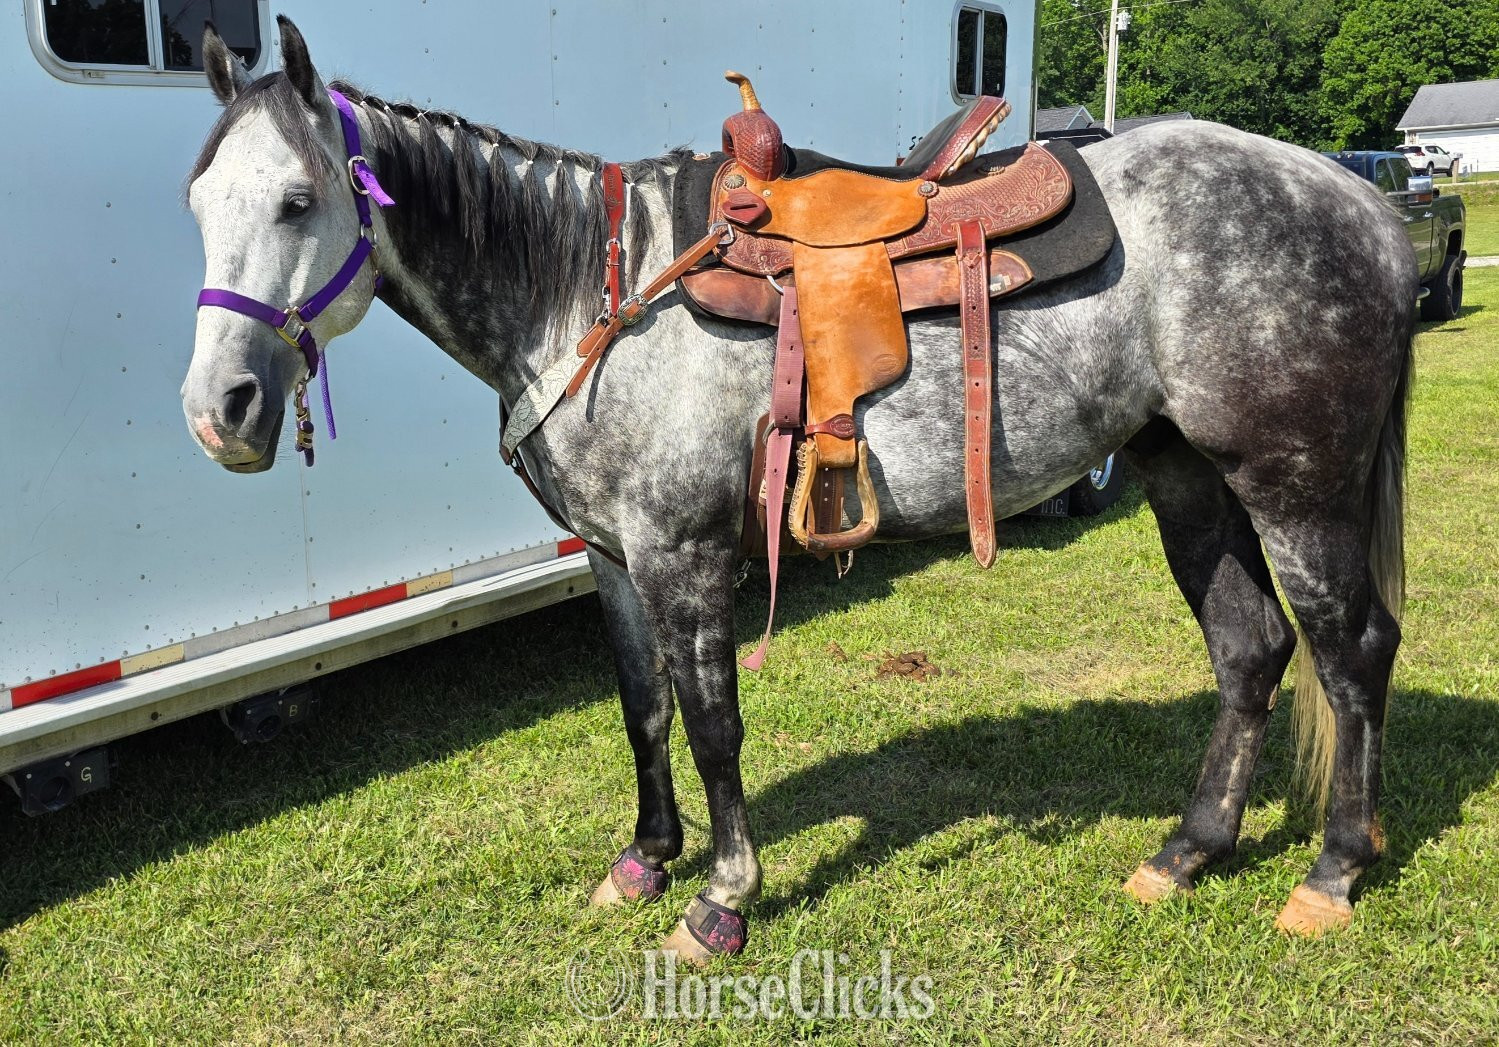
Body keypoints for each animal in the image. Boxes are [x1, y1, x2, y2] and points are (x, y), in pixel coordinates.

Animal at [181, 17, 1413, 959]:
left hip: (1294, 486)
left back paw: (1329, 874)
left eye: (298, 201)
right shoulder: (612, 557)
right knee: (1250, 648)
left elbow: (714, 720)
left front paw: (721, 901)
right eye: (198, 204)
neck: (591, 293)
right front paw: (645, 861)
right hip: (1184, 473)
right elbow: (641, 706)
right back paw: (1185, 853)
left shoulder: (683, 554)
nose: (218, 410)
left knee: (1349, 653)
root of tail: (1360, 205)